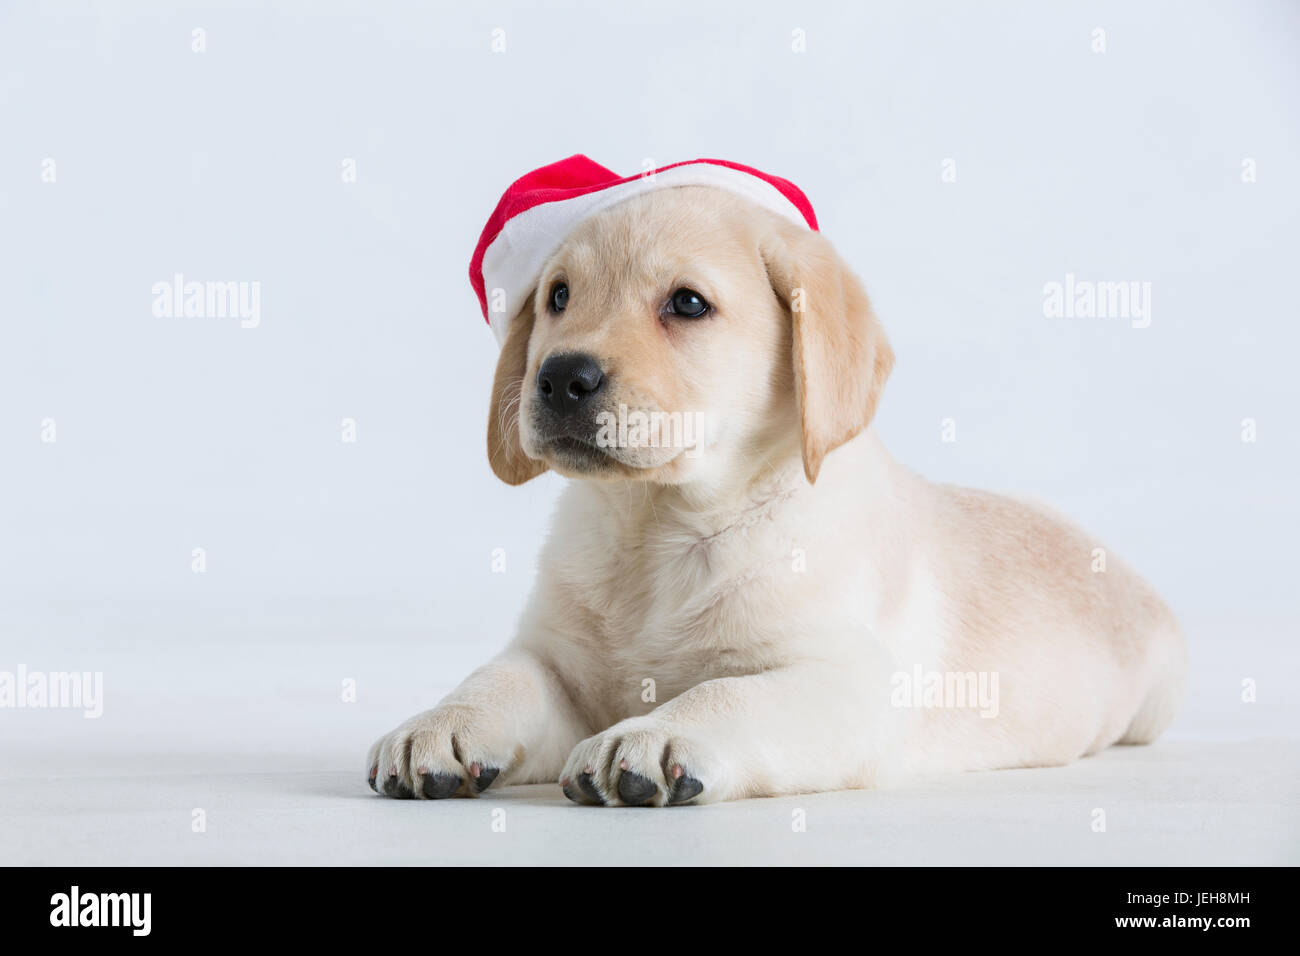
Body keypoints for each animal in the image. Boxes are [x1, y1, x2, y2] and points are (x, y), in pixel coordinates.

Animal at [366, 157, 1190, 806]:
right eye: (558, 297)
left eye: (687, 303)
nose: (560, 376)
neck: (658, 529)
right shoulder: (555, 660)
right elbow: (499, 677)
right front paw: (436, 723)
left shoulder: (844, 684)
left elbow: (726, 691)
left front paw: (656, 735)